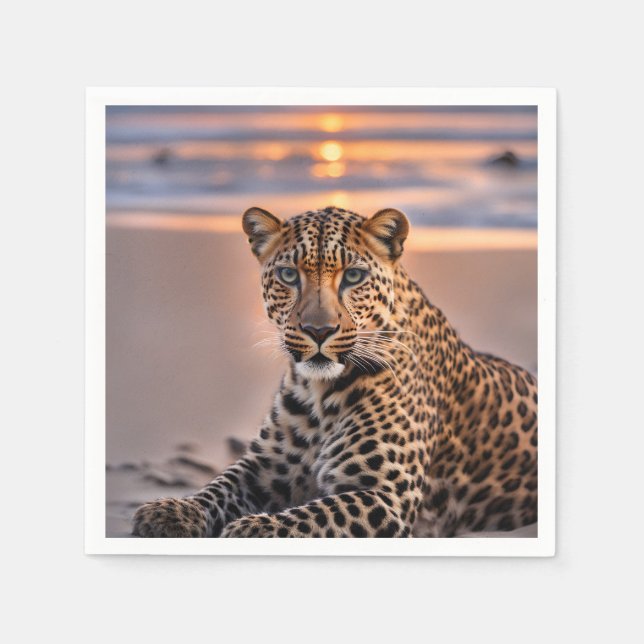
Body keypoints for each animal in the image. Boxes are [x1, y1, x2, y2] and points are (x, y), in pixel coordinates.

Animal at [132, 206, 537, 538]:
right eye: (288, 275)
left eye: (354, 276)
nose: (319, 330)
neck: (318, 391)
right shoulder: (263, 468)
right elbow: (219, 485)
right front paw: (170, 511)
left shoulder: (383, 495)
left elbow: (313, 516)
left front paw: (252, 528)